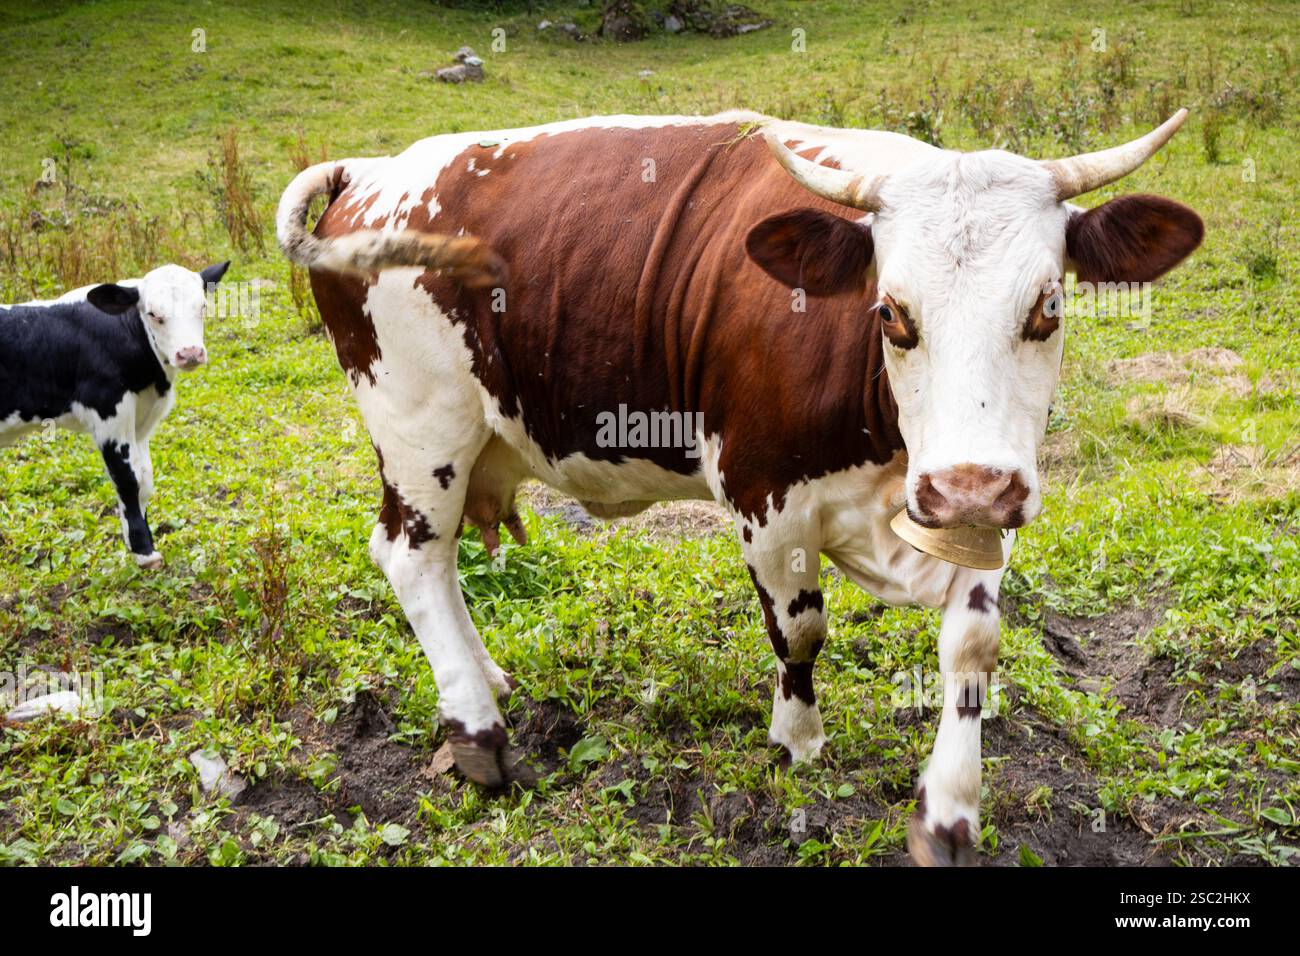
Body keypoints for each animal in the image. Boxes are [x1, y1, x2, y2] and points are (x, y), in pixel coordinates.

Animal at [0, 262, 230, 567]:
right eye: (153, 314)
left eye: (202, 306)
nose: (190, 353)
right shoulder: (107, 411)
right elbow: (128, 480)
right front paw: (144, 551)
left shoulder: (140, 424)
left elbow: (145, 479)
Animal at [276, 110, 1202, 865]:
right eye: (891, 314)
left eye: (1048, 307)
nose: (969, 485)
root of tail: (372, 171)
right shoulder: (766, 494)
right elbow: (800, 629)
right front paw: (798, 741)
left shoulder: (980, 501)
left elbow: (971, 649)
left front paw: (949, 812)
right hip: (420, 425)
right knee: (413, 556)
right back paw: (478, 731)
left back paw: (485, 677)